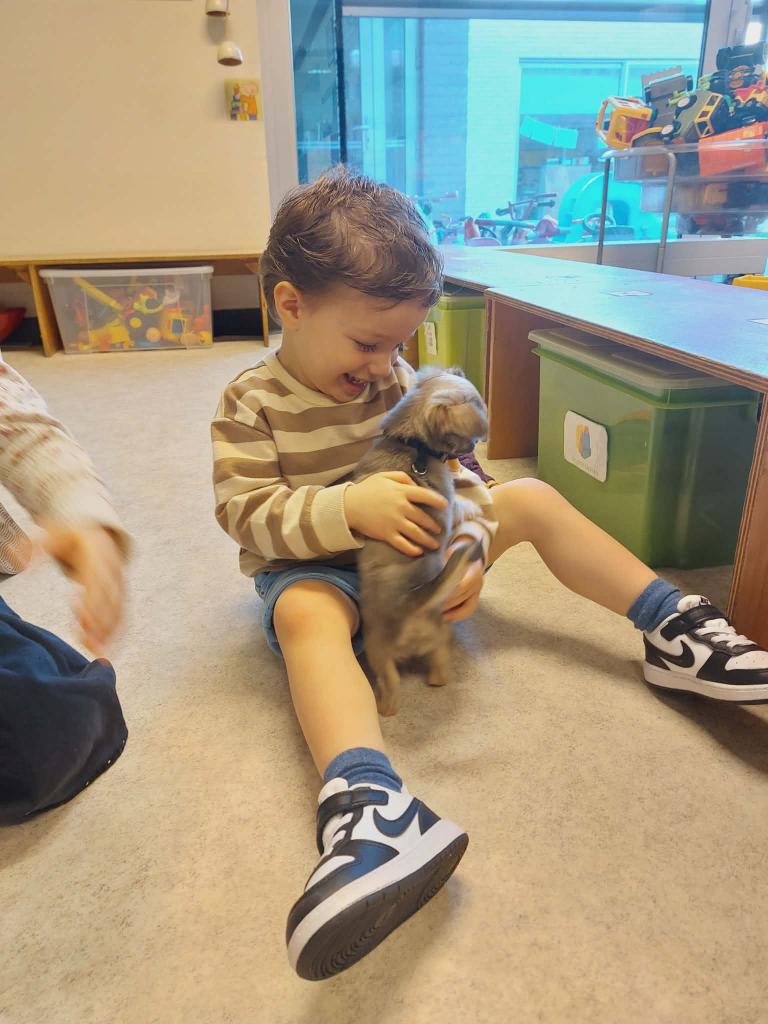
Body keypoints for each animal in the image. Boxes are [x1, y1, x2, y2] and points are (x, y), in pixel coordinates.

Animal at [353, 367, 489, 716]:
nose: (474, 445)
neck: (413, 446)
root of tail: (415, 600)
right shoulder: (447, 500)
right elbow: (460, 502)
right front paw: (474, 505)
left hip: (392, 650)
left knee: (409, 677)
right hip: (413, 644)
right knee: (419, 674)